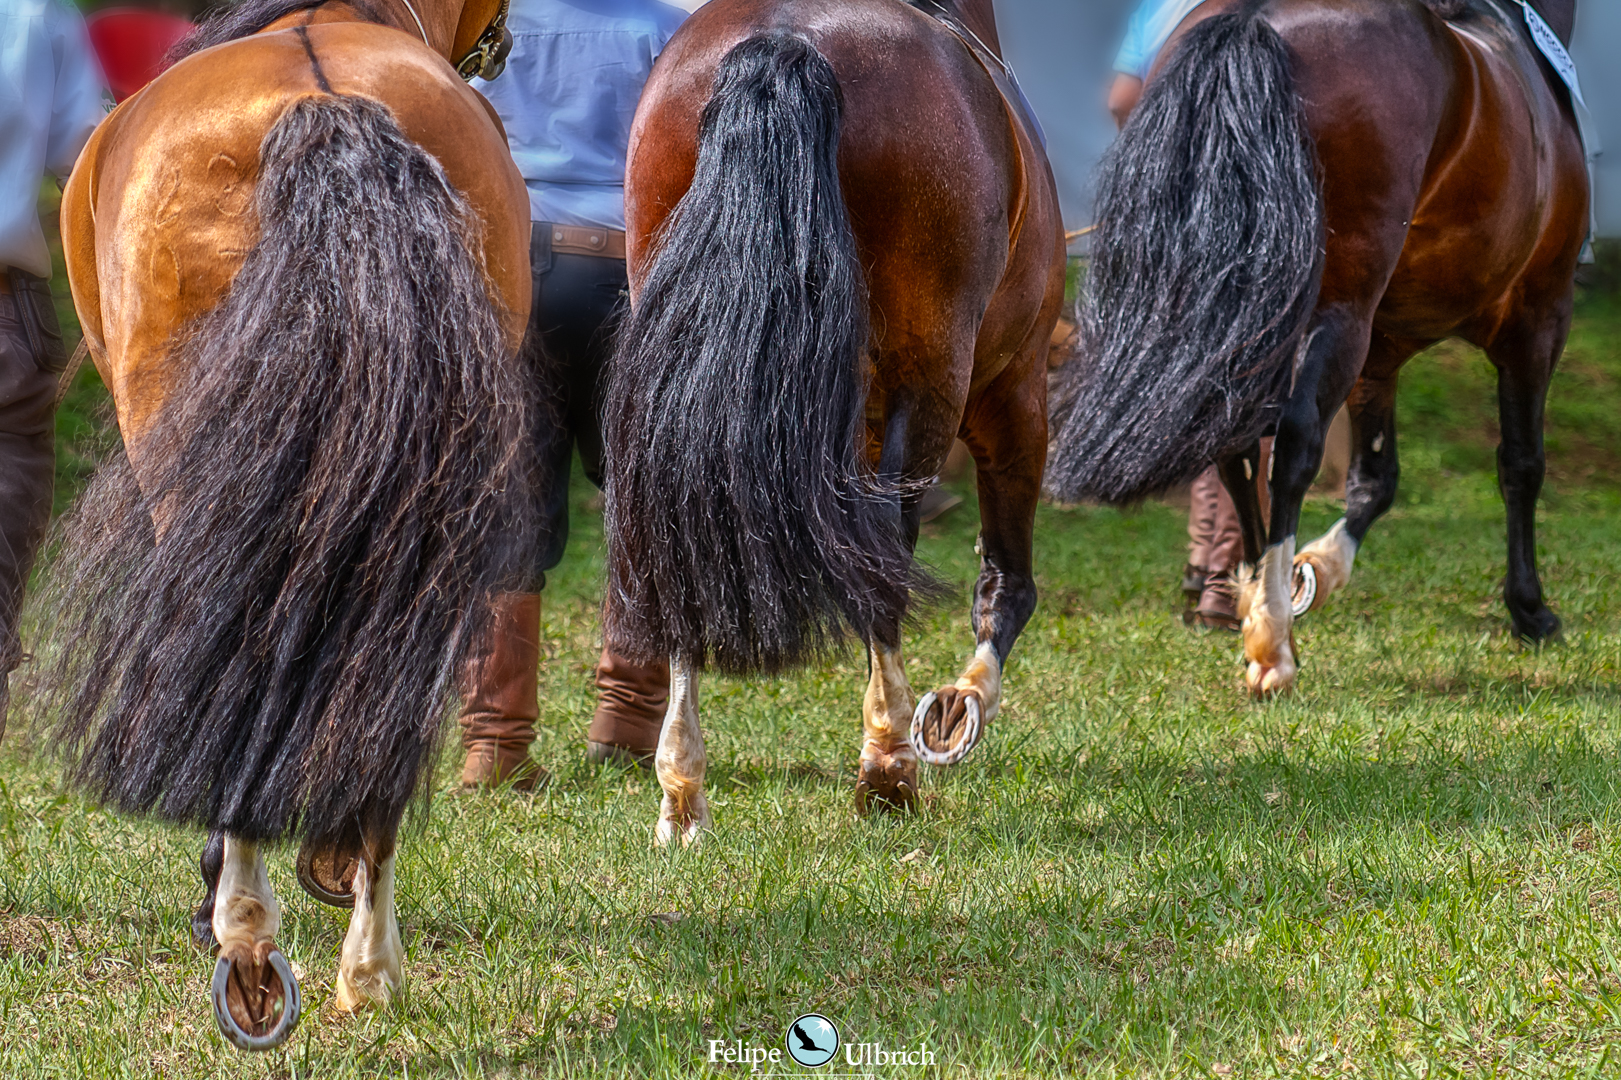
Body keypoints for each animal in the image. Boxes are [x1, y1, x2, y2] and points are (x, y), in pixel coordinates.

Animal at [604, 0, 1066, 843]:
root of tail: (785, 41)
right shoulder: (1012, 391)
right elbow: (1007, 583)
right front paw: (957, 707)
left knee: (677, 535)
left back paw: (682, 790)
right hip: (938, 378)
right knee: (887, 550)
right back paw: (887, 767)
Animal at [1045, 0, 1588, 696]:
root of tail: (1256, 20)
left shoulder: (1381, 351)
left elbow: (1375, 480)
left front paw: (1317, 570)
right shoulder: (1538, 317)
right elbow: (1521, 466)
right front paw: (1530, 610)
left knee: (1236, 449)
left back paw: (1252, 602)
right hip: (1344, 316)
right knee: (1293, 447)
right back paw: (1274, 640)